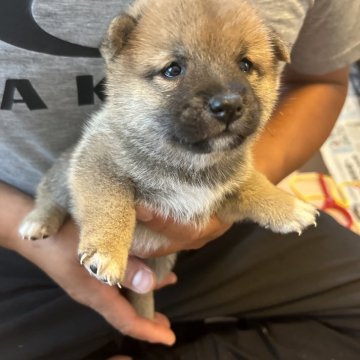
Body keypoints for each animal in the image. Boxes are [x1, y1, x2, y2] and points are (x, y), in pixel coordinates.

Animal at [19, 0, 318, 320]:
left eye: (246, 65)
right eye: (173, 70)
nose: (228, 105)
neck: (188, 163)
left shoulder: (218, 201)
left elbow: (253, 185)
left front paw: (288, 206)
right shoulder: (98, 162)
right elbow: (110, 203)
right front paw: (108, 250)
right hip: (62, 174)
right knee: (49, 197)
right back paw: (37, 222)